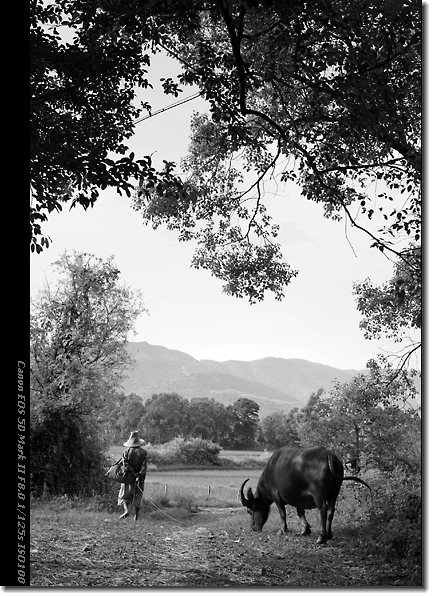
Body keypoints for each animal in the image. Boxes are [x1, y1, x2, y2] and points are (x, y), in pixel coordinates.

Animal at [240, 444, 372, 544]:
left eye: (249, 510)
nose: (253, 528)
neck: (270, 471)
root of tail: (328, 455)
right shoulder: (299, 498)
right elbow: (300, 512)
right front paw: (305, 530)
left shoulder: (276, 494)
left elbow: (282, 513)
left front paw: (283, 530)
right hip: (334, 492)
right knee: (331, 510)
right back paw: (329, 534)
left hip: (318, 494)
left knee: (323, 509)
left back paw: (321, 537)